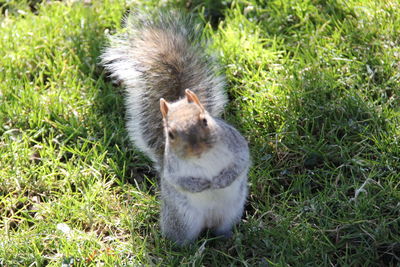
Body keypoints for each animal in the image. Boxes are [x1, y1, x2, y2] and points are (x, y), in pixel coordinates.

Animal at [100, 9, 250, 245]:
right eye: (170, 134)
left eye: (205, 121)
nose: (196, 148)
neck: (203, 158)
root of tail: (209, 223)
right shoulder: (172, 169)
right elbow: (178, 181)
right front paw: (201, 186)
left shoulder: (236, 145)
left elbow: (240, 164)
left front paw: (219, 181)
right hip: (182, 221)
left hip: (230, 214)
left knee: (223, 228)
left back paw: (228, 239)